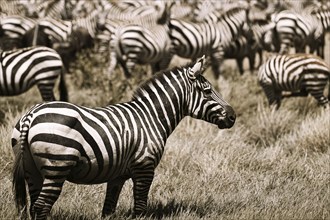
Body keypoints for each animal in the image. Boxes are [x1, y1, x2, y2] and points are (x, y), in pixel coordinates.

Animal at [12, 55, 235, 219]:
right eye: (208, 91)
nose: (233, 116)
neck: (151, 117)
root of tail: (31, 114)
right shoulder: (145, 167)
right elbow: (140, 209)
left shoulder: (117, 175)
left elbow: (108, 210)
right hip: (56, 167)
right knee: (41, 207)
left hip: (32, 169)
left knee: (34, 206)